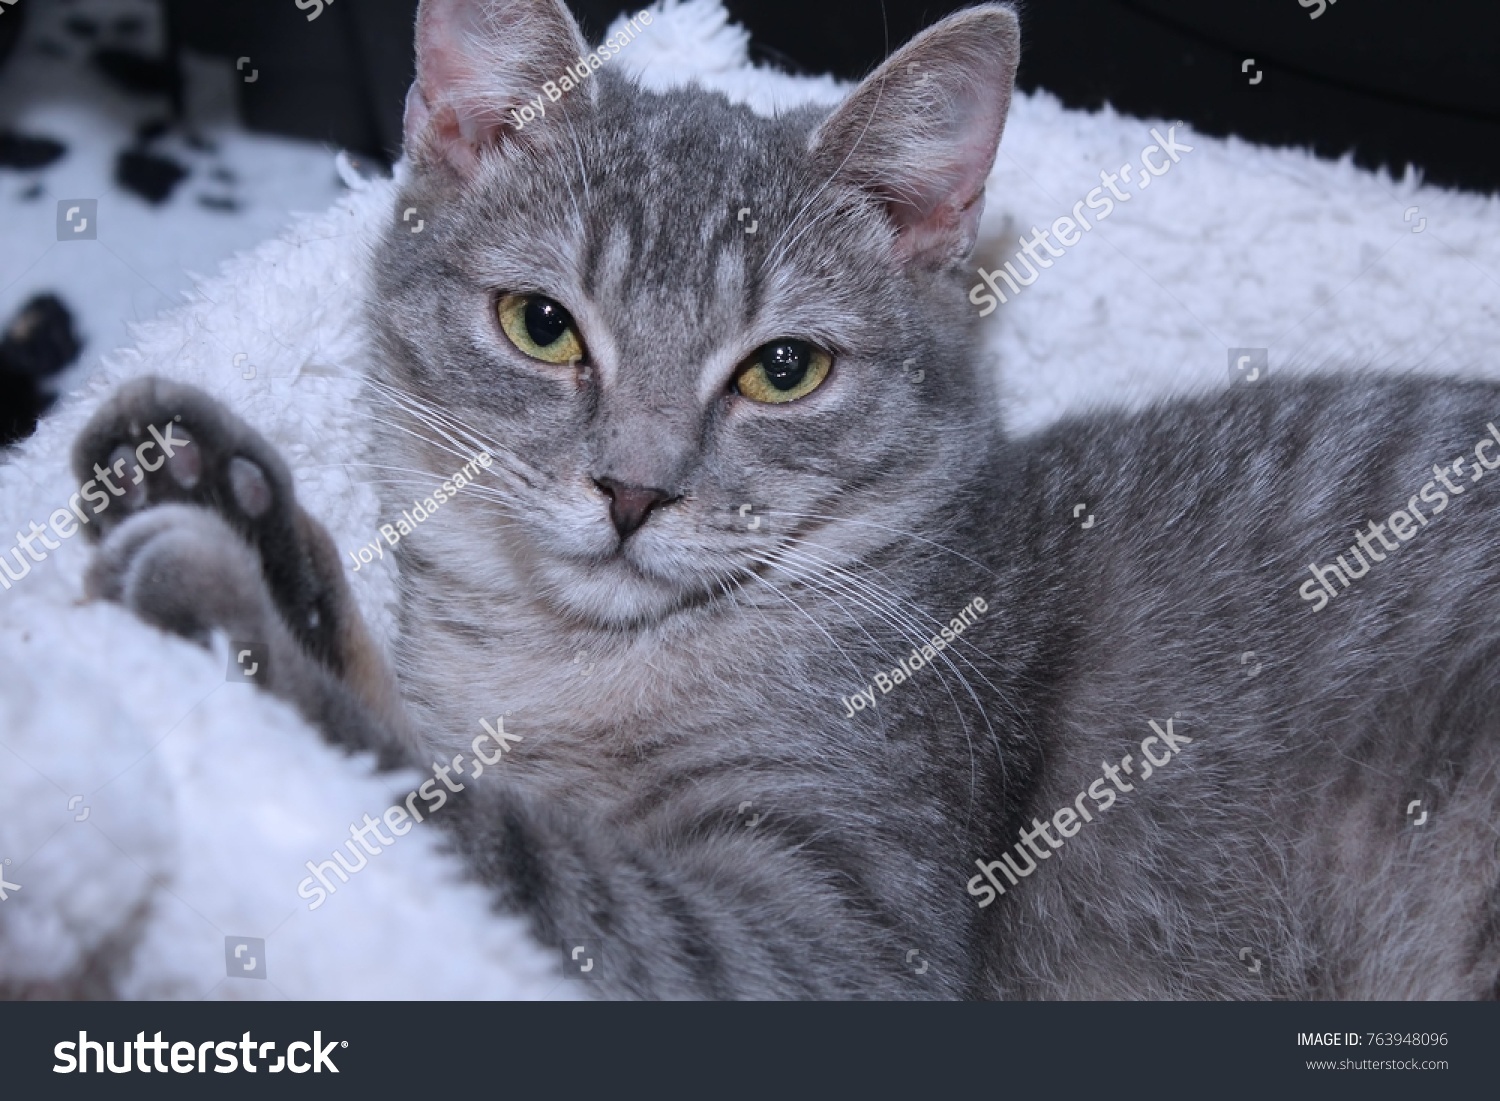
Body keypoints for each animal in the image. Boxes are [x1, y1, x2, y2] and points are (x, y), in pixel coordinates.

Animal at [73, 0, 1500, 1002]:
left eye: (784, 369)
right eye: (542, 325)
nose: (633, 488)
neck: (570, 664)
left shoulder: (832, 930)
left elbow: (470, 830)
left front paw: (228, 614)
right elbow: (420, 735)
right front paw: (229, 504)